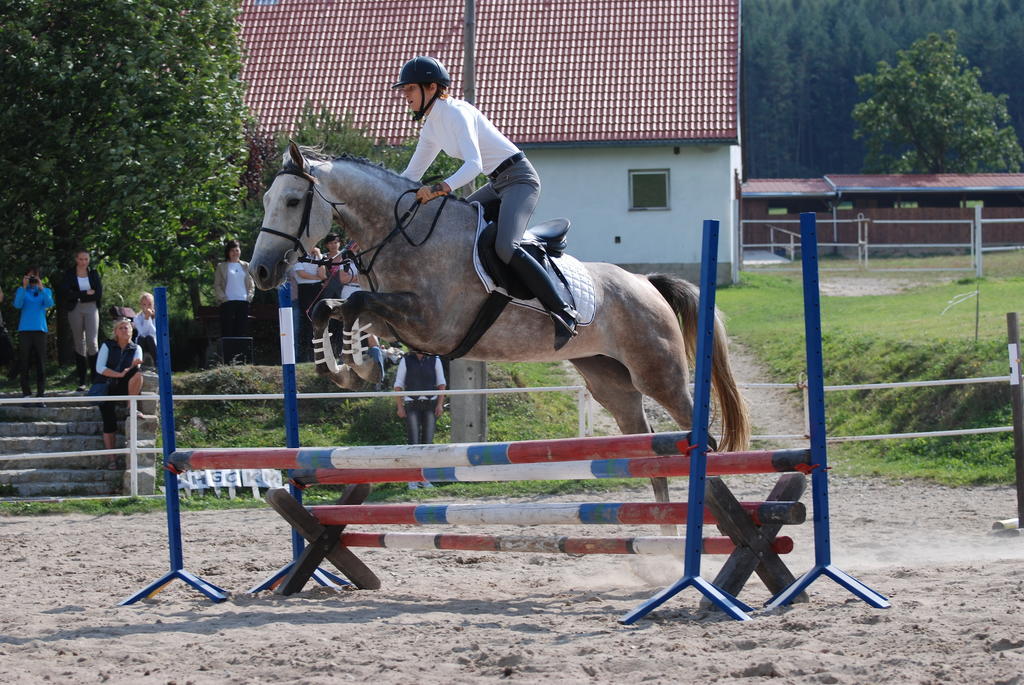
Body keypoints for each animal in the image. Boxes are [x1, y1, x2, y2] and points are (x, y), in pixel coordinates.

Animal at [247, 144, 749, 499]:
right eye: (268, 198)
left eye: (293, 200)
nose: (261, 271)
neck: (403, 234)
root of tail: (645, 282)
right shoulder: (399, 321)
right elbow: (333, 309)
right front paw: (346, 369)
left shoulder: (432, 324)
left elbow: (354, 306)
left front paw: (359, 367)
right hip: (610, 382)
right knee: (647, 450)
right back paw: (665, 535)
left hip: (658, 373)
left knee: (697, 435)